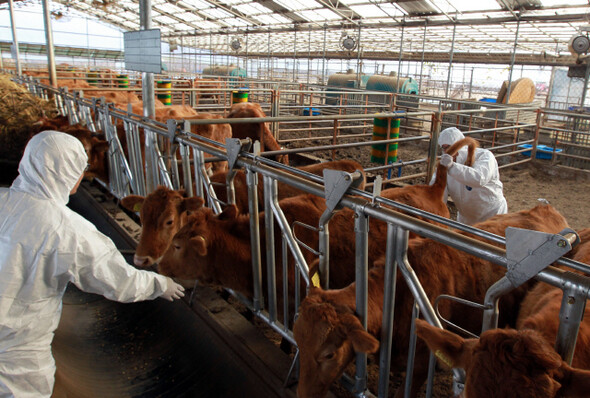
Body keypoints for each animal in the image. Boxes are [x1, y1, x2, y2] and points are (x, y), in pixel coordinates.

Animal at [294, 204, 572, 398]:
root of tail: (545, 209)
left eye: (329, 354)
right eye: (297, 338)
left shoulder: (419, 364)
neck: (399, 295)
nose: (302, 394)